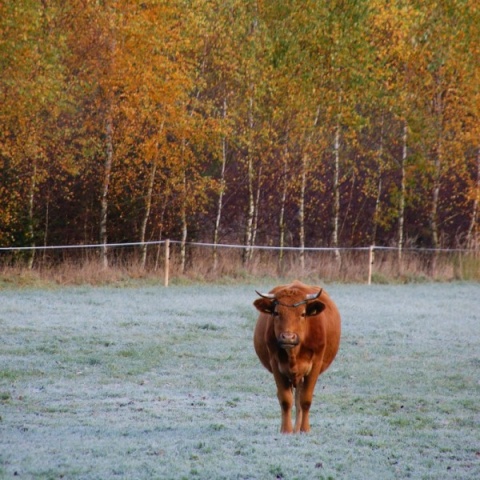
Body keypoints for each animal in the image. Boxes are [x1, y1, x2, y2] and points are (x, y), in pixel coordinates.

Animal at [251, 280, 342, 434]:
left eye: (303, 314)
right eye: (276, 312)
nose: (288, 337)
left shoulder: (315, 365)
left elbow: (305, 400)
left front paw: (305, 429)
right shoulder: (276, 364)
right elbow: (285, 399)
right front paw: (286, 430)